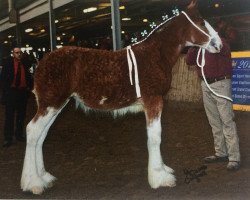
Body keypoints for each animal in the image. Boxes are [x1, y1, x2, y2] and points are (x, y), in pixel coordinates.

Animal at [20, 0, 222, 194]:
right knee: (32, 131)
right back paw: (33, 183)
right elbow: (155, 137)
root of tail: (41, 62)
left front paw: (163, 171)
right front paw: (159, 178)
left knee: (41, 135)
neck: (155, 54)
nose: (219, 44)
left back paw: (44, 177)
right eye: (202, 22)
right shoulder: (153, 101)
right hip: (51, 104)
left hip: (55, 105)